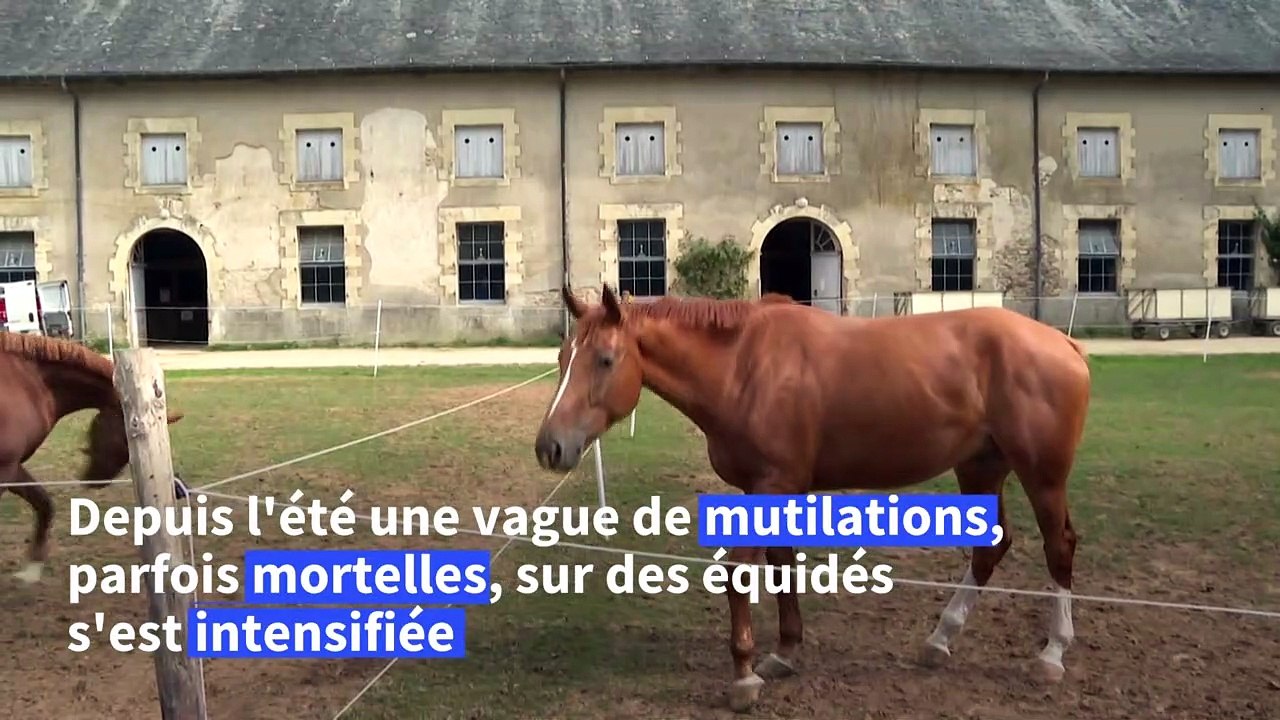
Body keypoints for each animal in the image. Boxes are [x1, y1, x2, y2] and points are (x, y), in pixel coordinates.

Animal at [0, 332, 184, 584]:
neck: (27, 383)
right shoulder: (5, 469)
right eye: (130, 432)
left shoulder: (12, 468)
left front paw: (31, 569)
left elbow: (44, 504)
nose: (96, 480)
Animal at [533, 284, 1091, 713]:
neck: (744, 367)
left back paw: (1052, 655)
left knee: (1058, 547)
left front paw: (744, 675)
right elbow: (782, 565)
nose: (550, 447)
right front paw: (784, 653)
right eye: (562, 359)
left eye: (605, 359)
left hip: (1041, 475)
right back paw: (940, 640)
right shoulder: (770, 491)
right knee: (990, 548)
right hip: (980, 466)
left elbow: (738, 572)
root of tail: (1065, 344)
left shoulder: (772, 486)